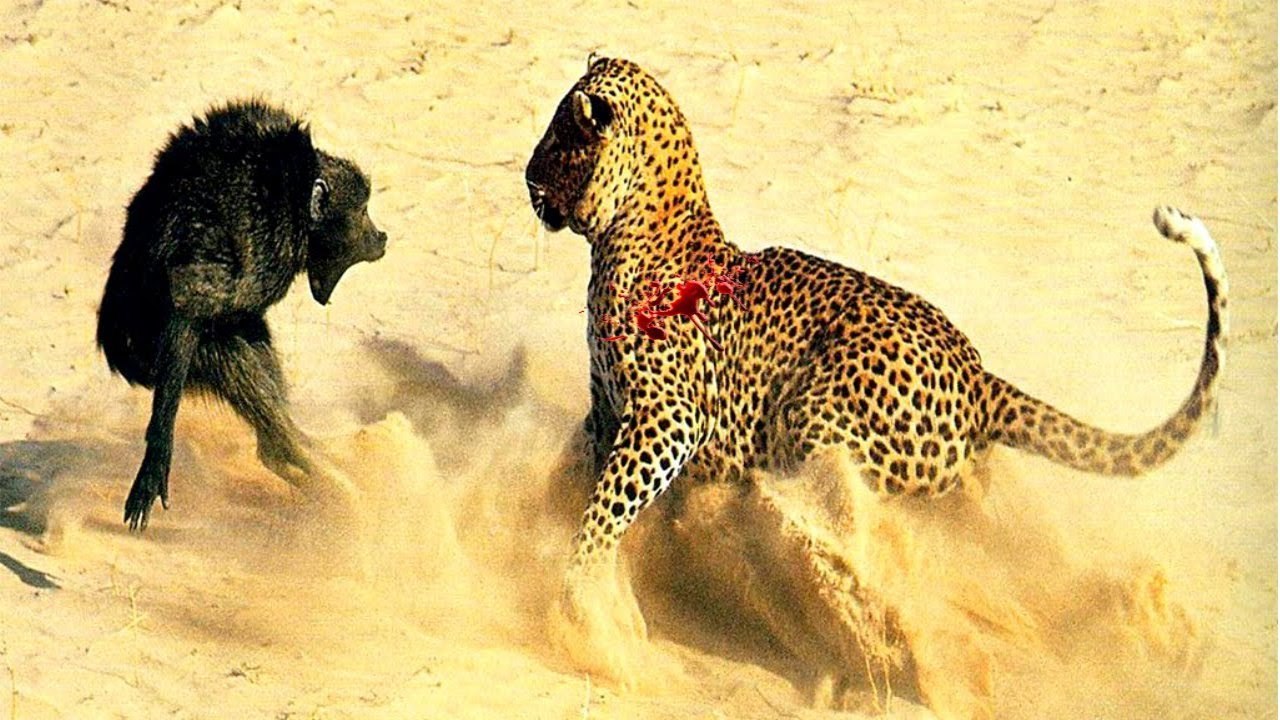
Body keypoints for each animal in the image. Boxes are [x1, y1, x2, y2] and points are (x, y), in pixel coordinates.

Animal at [96, 99, 387, 530]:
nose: (381, 238)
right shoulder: (254, 234)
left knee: (245, 337)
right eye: (363, 210)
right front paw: (156, 458)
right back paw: (311, 472)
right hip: (153, 357)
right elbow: (188, 306)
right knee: (224, 351)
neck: (292, 193)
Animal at [523, 55, 1227, 690]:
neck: (629, 230)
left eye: (559, 137)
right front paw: (539, 531)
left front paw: (577, 595)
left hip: (815, 418)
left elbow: (606, 509)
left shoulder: (670, 420)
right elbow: (579, 478)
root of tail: (980, 376)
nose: (528, 176)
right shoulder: (607, 409)